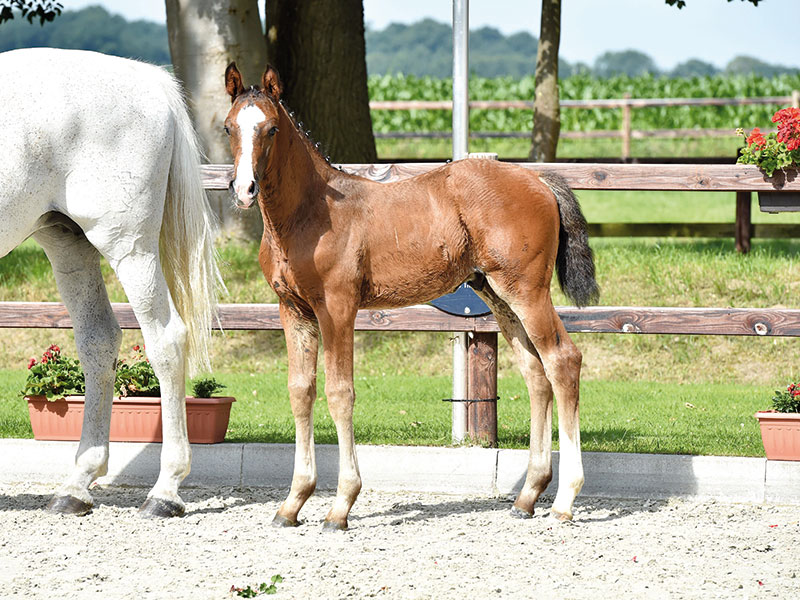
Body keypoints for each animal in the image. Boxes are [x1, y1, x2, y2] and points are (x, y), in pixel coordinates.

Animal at [0, 48, 221, 518]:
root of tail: (146, 79)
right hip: (69, 244)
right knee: (99, 340)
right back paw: (76, 487)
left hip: (128, 247)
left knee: (166, 340)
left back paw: (165, 492)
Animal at [223, 63, 599, 530]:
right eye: (228, 128)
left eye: (271, 128)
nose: (244, 189)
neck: (307, 214)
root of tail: (536, 177)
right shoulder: (292, 309)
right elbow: (300, 391)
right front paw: (293, 502)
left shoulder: (337, 306)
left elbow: (340, 392)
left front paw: (340, 505)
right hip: (497, 295)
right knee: (535, 372)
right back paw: (528, 495)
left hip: (526, 290)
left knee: (563, 361)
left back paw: (565, 501)